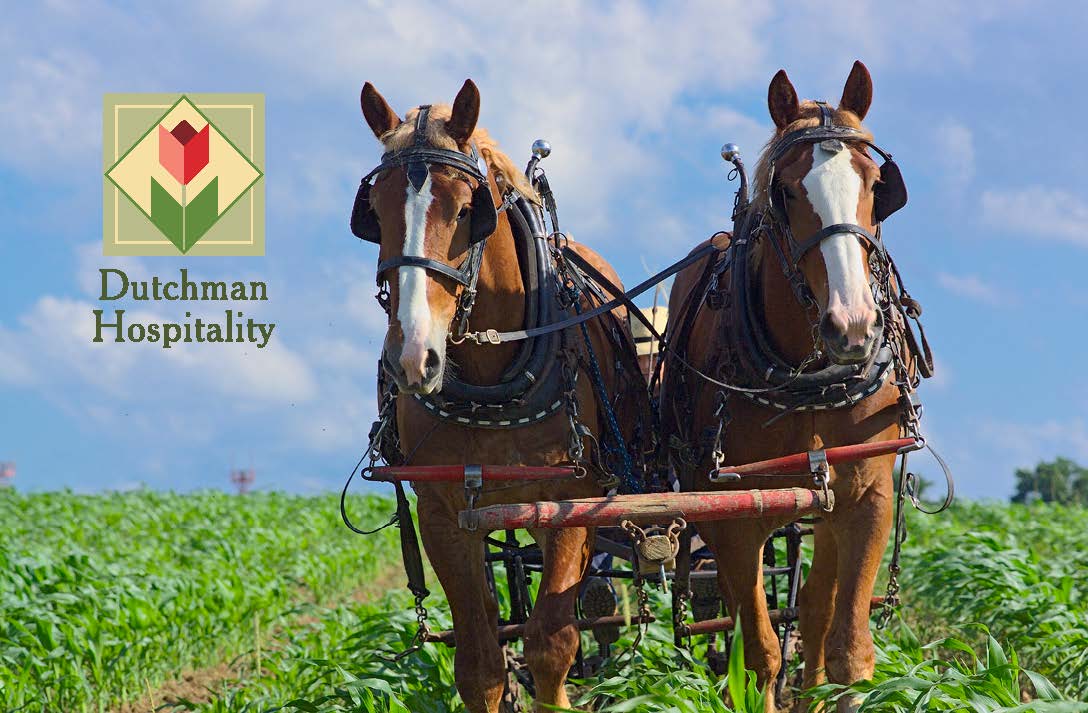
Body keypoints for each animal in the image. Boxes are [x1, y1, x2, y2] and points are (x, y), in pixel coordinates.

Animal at [356, 79, 649, 713]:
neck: (492, 383)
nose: (413, 356)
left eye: (468, 211)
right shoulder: (444, 514)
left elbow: (551, 643)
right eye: (376, 213)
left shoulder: (570, 503)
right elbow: (480, 661)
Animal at [662, 61, 925, 712]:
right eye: (784, 191)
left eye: (878, 185)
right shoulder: (734, 514)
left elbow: (846, 646)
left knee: (814, 611)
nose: (852, 326)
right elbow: (757, 652)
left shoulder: (865, 498)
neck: (810, 379)